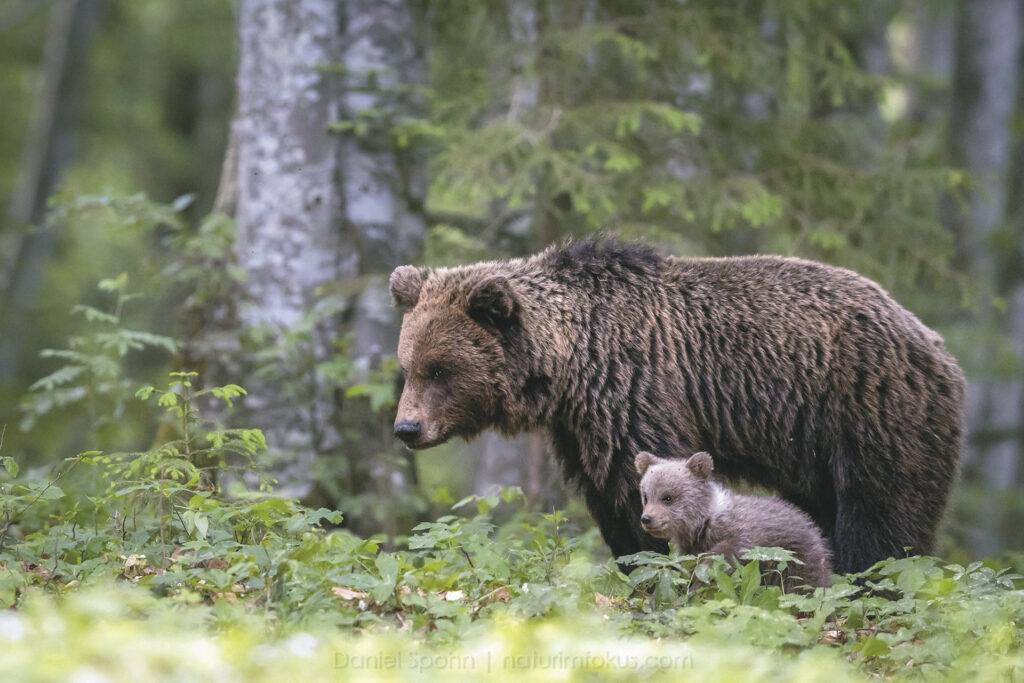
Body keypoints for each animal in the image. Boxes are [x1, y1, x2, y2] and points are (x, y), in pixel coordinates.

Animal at [387, 237, 962, 573]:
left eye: (442, 369)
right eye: (408, 365)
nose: (407, 428)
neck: (571, 364)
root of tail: (930, 339)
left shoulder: (635, 390)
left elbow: (640, 482)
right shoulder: (582, 426)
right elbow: (611, 499)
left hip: (871, 413)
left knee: (881, 513)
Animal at [634, 448, 835, 589]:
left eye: (667, 497)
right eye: (646, 496)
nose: (647, 519)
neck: (703, 523)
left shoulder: (746, 534)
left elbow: (729, 552)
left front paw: (704, 574)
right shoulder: (691, 548)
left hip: (795, 560)